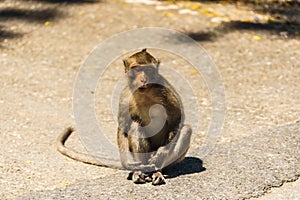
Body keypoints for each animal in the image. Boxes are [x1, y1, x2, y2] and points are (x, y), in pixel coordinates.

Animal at [56, 48, 192, 186]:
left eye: (148, 70)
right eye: (136, 69)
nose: (143, 80)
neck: (145, 93)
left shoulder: (166, 91)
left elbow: (177, 119)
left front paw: (161, 153)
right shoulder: (125, 97)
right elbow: (124, 127)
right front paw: (127, 163)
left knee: (186, 130)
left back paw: (157, 171)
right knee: (136, 125)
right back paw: (139, 171)